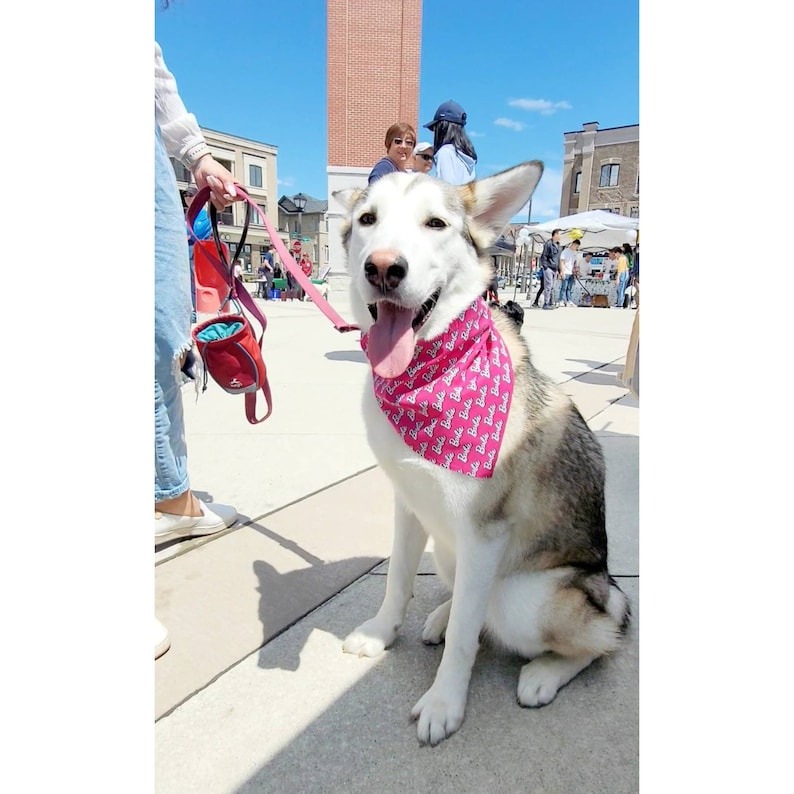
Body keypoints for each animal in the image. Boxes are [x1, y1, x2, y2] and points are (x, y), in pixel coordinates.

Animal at [334, 164, 632, 744]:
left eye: (435, 223)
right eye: (367, 220)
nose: (383, 268)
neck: (423, 371)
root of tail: (606, 589)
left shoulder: (483, 533)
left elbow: (465, 639)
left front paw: (444, 702)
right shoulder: (409, 504)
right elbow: (398, 580)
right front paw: (383, 632)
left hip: (527, 597)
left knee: (599, 639)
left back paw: (544, 673)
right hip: (451, 555)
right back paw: (442, 615)